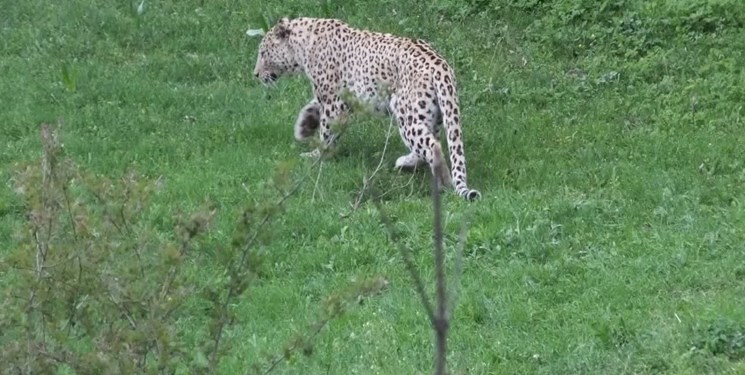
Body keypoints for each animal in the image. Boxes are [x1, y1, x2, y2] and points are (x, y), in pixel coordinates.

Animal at [253, 16, 480, 201]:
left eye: (263, 53)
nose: (255, 74)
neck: (302, 47)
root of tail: (440, 66)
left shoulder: (333, 101)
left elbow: (327, 131)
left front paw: (318, 155)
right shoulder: (335, 98)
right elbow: (313, 106)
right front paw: (304, 127)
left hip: (406, 114)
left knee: (432, 146)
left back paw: (444, 184)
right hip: (432, 114)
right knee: (429, 142)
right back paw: (406, 163)